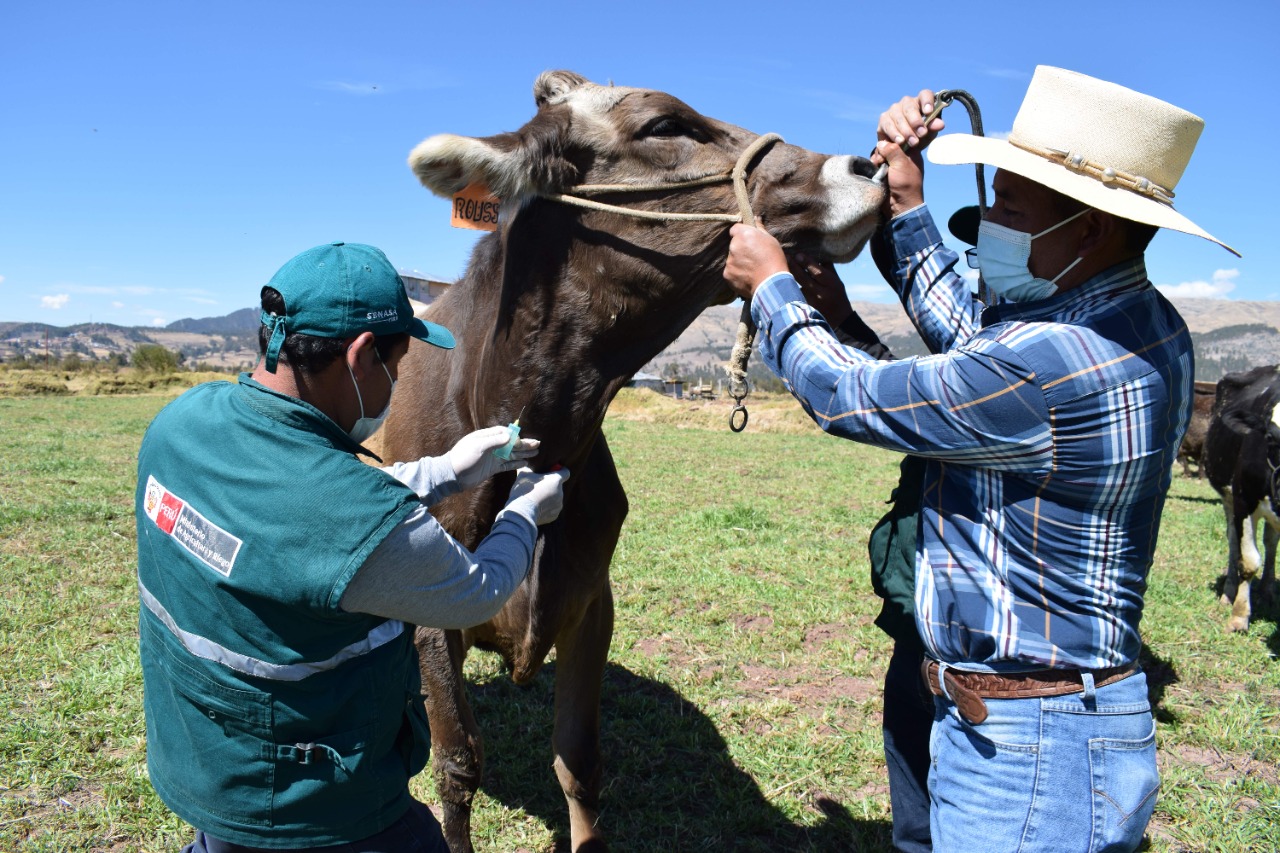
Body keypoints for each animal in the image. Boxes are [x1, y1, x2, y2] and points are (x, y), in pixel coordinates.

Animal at [373, 69, 885, 845]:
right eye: (664, 126)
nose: (866, 167)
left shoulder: (593, 598)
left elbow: (579, 760)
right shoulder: (434, 617)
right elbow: (457, 765)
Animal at [1198, 361, 1280, 627]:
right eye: (1270, 437)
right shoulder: (1244, 501)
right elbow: (1249, 562)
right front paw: (1239, 617)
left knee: (1271, 542)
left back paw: (1267, 591)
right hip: (1229, 500)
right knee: (1234, 542)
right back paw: (1229, 593)